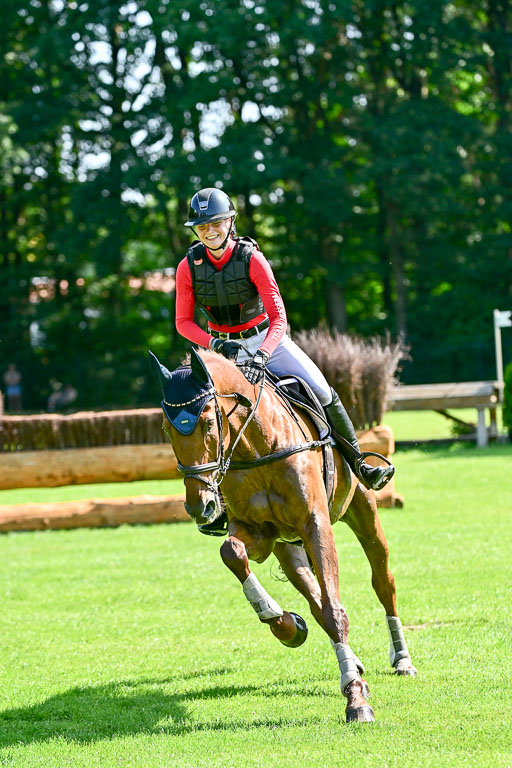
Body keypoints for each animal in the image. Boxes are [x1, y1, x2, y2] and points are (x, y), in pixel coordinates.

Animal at [149, 347, 417, 724]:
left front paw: (356, 701)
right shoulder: (258, 533)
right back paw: (343, 656)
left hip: (363, 511)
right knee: (315, 599)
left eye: (207, 422)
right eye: (165, 429)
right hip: (288, 551)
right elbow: (232, 553)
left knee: (382, 582)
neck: (258, 446)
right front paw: (283, 623)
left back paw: (402, 659)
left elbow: (335, 610)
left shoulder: (315, 524)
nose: (199, 506)